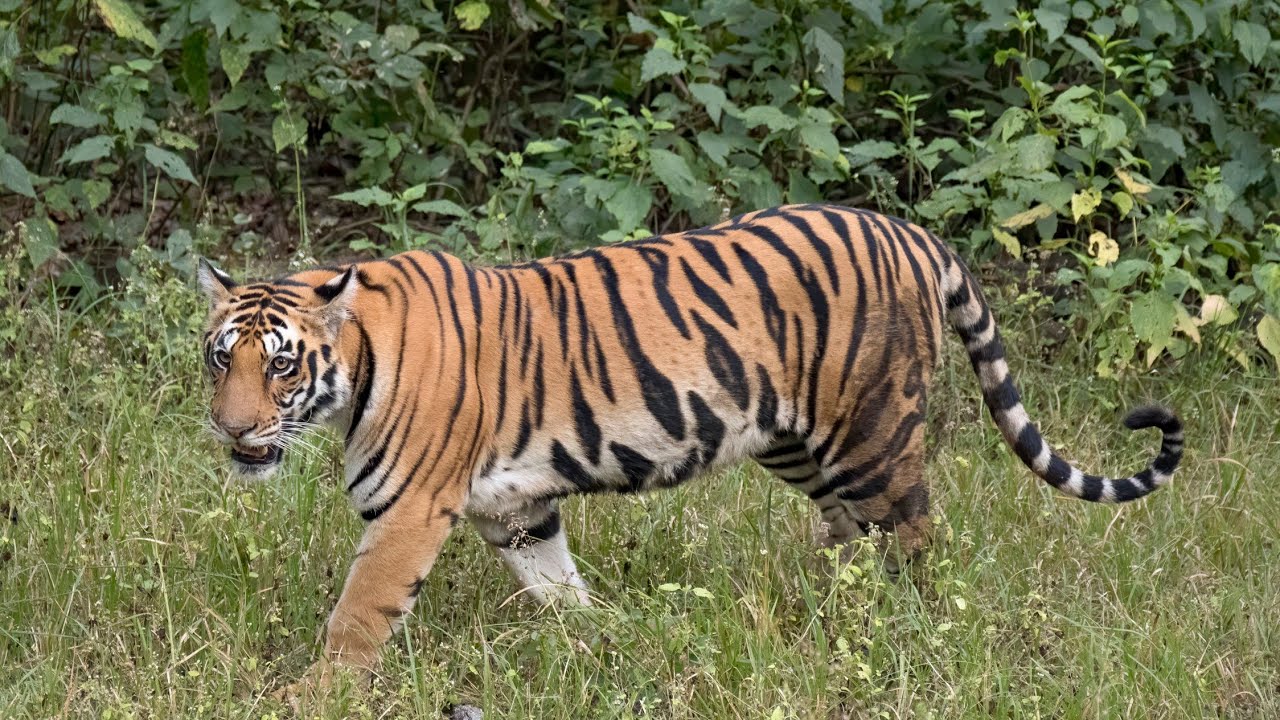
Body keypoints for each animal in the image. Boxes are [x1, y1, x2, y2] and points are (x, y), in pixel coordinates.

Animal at [197, 203, 1183, 690]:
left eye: (281, 366)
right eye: (220, 358)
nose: (233, 429)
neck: (355, 369)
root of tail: (912, 231)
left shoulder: (408, 511)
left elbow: (358, 614)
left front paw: (313, 698)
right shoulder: (517, 509)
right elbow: (559, 588)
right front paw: (601, 644)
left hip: (872, 431)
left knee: (914, 538)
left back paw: (913, 634)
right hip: (794, 441)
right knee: (849, 536)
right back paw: (827, 616)